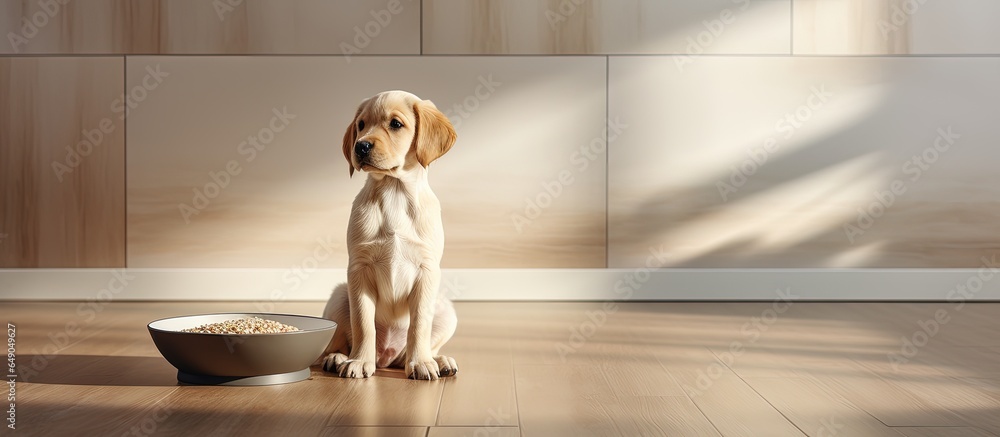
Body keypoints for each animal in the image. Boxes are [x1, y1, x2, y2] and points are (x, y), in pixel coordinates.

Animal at [320, 90, 460, 380]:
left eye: (396, 124)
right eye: (361, 125)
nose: (360, 146)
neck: (394, 189)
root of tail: (387, 357)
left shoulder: (427, 270)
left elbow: (419, 325)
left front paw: (420, 363)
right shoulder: (359, 270)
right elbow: (363, 323)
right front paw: (360, 361)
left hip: (445, 309)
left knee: (421, 343)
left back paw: (437, 360)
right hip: (339, 295)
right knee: (341, 339)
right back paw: (339, 357)